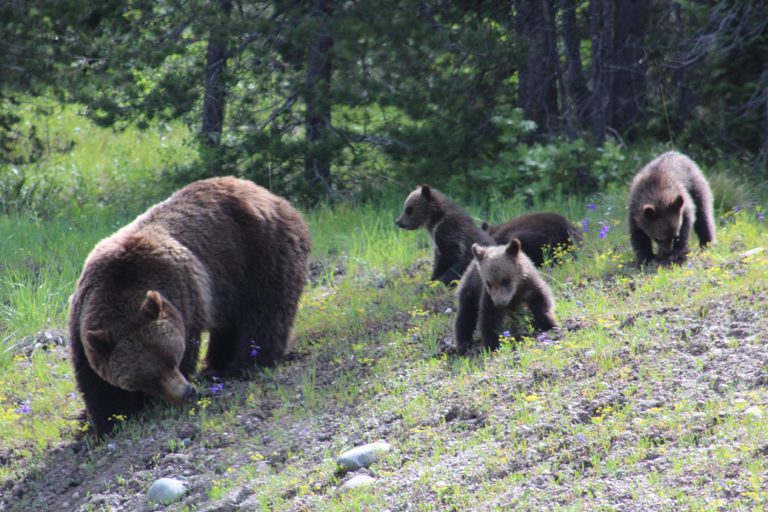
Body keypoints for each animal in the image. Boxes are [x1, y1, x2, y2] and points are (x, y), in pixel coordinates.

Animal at [69, 176, 311, 436]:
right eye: (148, 378)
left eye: (172, 358)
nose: (187, 391)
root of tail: (268, 194)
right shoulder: (82, 322)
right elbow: (97, 384)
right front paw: (105, 420)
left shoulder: (184, 299)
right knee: (231, 326)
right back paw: (216, 365)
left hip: (261, 255)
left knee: (264, 315)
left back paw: (242, 366)